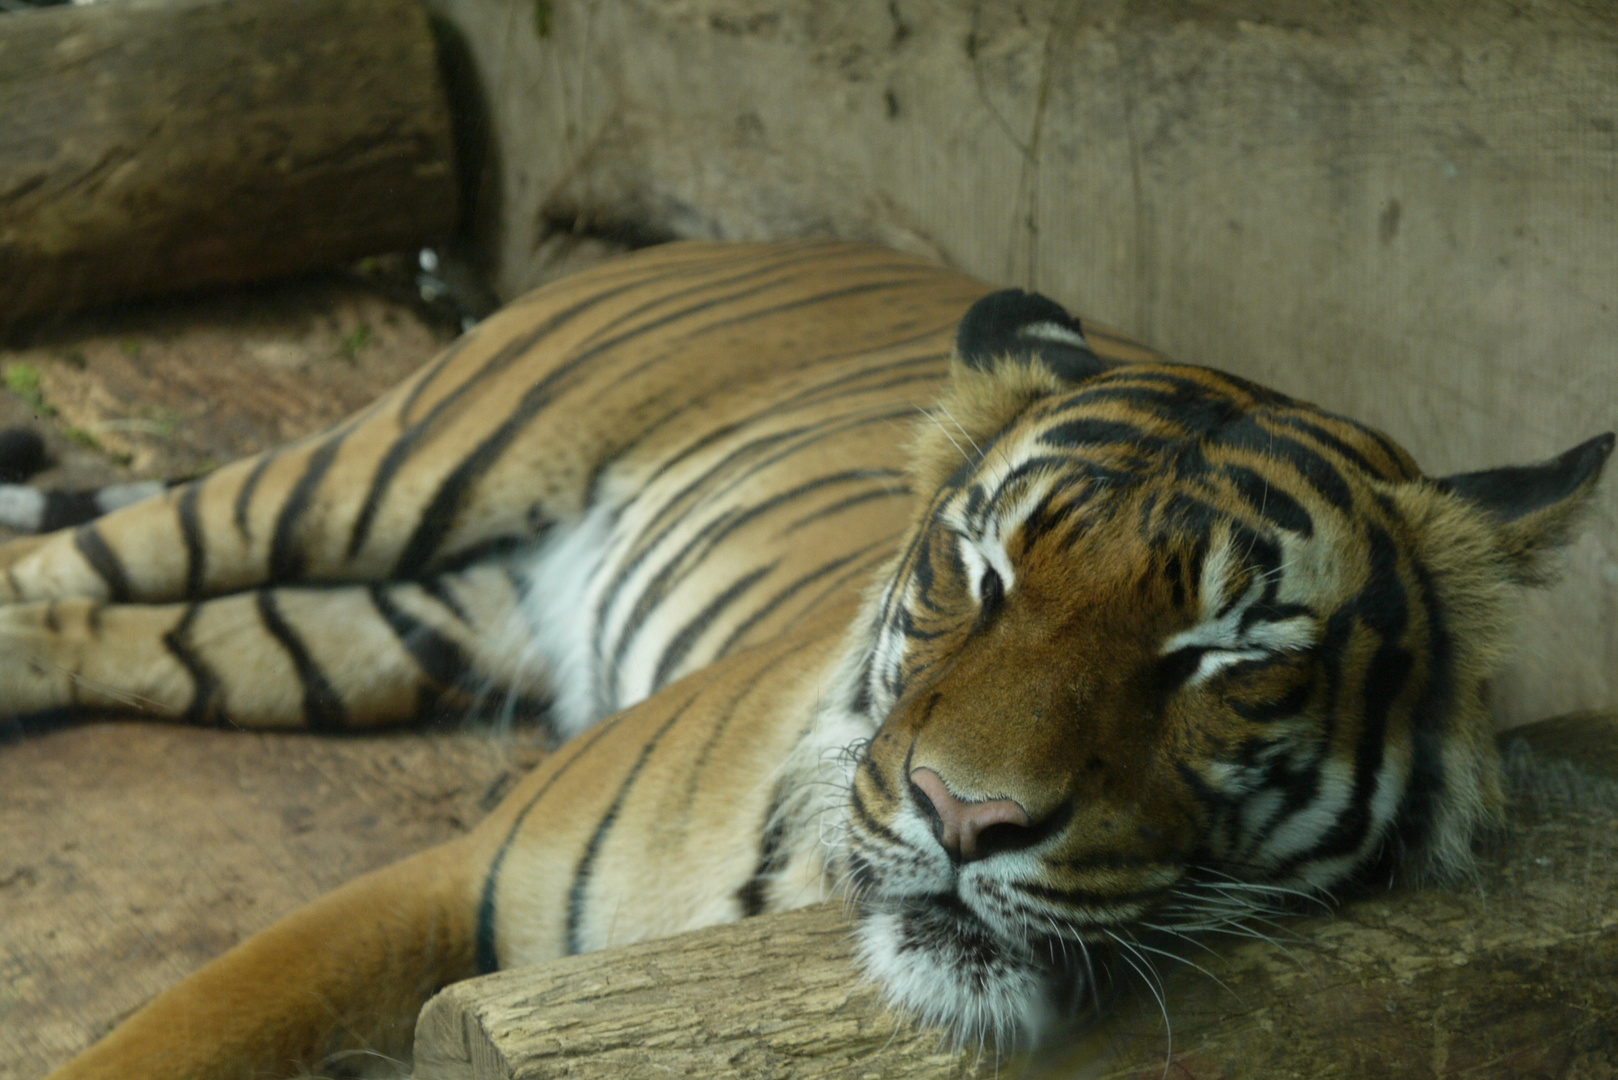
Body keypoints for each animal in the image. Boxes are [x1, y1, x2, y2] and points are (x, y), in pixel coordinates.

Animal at [12, 241, 1605, 1075]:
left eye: (1227, 655)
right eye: (983, 573)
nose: (968, 818)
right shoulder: (456, 877)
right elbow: (179, 1030)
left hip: (384, 626)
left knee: (119, 630)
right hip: (387, 466)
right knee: (76, 563)